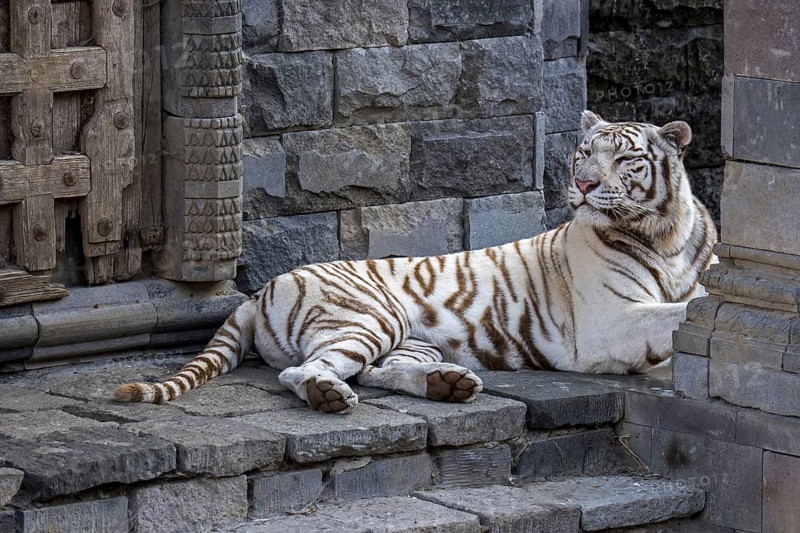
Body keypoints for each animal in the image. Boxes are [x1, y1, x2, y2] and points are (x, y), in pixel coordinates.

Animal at [114, 111, 717, 414]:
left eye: (625, 158)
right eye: (584, 152)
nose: (585, 184)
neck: (664, 235)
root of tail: (259, 291)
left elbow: (688, 304)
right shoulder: (607, 323)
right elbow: (674, 314)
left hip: (411, 337)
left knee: (376, 370)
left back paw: (447, 385)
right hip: (369, 316)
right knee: (305, 371)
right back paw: (330, 397)